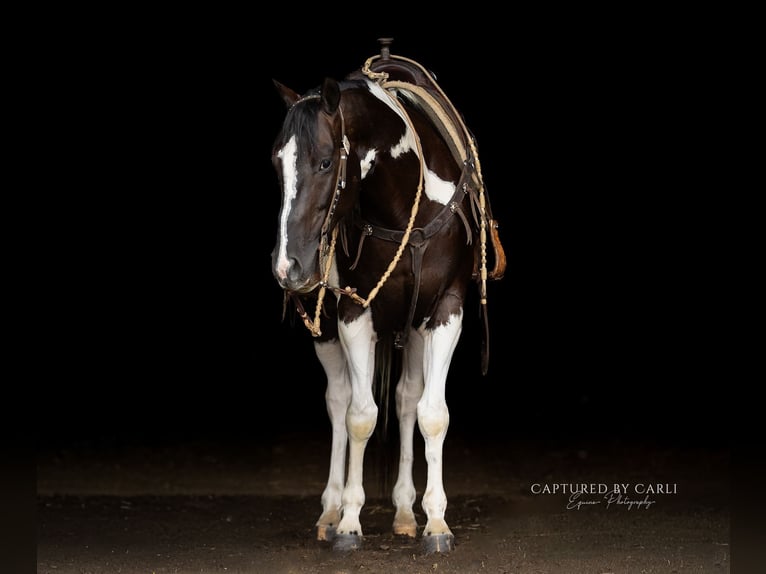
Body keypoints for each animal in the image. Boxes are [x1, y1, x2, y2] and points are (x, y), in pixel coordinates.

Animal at [270, 41, 505, 553]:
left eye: (324, 162)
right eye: (277, 163)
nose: (288, 266)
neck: (402, 205)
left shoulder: (446, 310)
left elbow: (431, 414)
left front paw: (435, 523)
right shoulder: (354, 312)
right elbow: (359, 415)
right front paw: (349, 522)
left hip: (413, 325)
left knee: (405, 399)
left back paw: (402, 512)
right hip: (329, 328)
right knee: (338, 400)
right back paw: (331, 510)